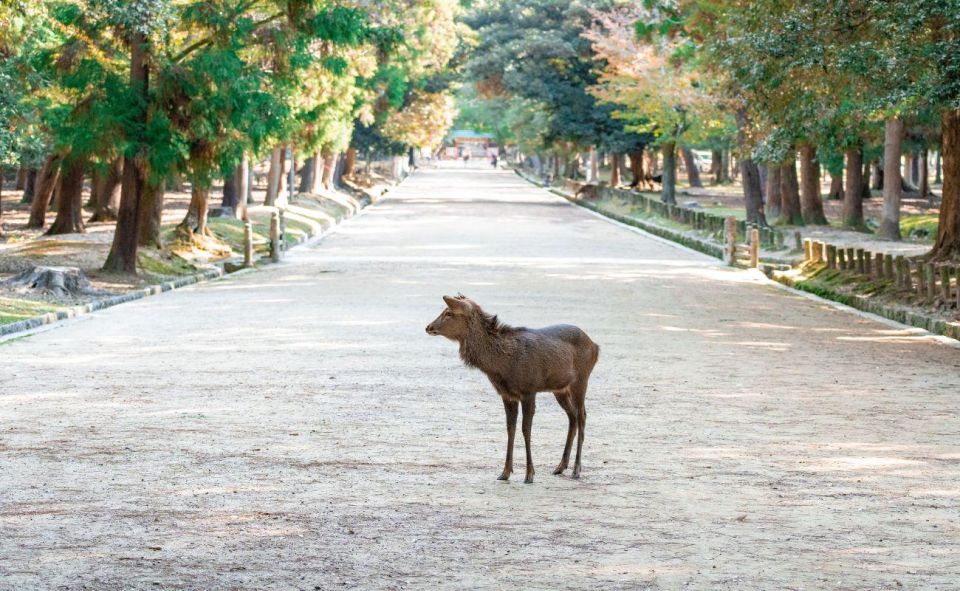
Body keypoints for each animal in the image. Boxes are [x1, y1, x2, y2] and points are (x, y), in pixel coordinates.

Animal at [424, 294, 596, 484]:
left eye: (448, 313)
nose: (428, 327)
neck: (501, 366)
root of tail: (596, 346)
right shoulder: (507, 394)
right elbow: (510, 429)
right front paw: (505, 472)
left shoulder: (529, 390)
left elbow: (526, 429)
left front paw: (529, 474)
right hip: (560, 389)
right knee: (572, 416)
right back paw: (560, 467)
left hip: (581, 380)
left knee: (582, 416)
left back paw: (576, 470)